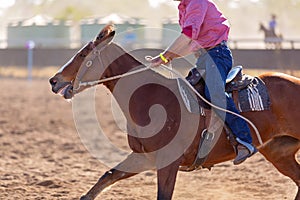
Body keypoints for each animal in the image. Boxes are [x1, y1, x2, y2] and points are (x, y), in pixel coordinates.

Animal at [49, 25, 300, 200]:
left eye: (83, 56)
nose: (54, 80)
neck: (151, 97)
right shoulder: (144, 157)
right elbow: (107, 177)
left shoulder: (168, 162)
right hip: (279, 152)